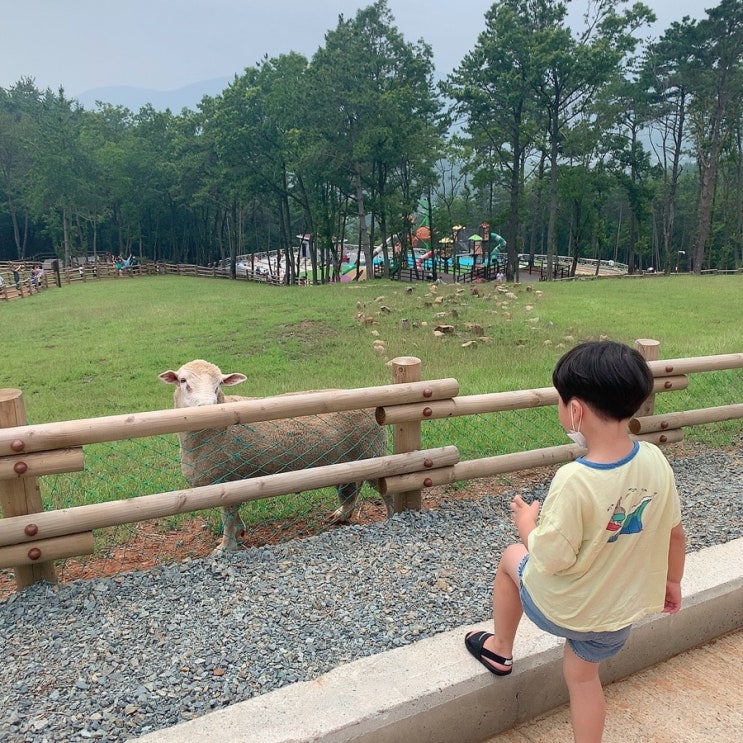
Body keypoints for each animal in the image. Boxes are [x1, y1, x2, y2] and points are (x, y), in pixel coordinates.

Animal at [159, 360, 392, 552]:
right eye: (183, 381)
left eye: (219, 385)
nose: (207, 408)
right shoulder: (230, 483)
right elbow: (233, 514)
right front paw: (239, 532)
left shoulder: (228, 478)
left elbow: (228, 517)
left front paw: (226, 547)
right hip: (350, 459)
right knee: (353, 486)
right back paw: (342, 514)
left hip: (372, 450)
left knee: (385, 487)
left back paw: (391, 515)